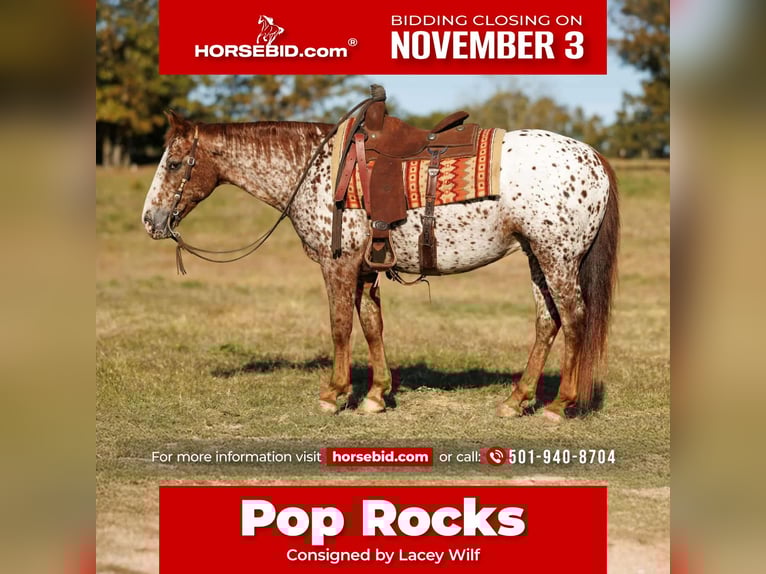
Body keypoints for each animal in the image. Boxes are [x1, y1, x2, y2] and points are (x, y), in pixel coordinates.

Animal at [142, 109, 619, 422]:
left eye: (174, 162)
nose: (150, 220)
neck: (317, 170)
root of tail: (594, 158)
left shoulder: (337, 265)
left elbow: (339, 326)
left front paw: (334, 394)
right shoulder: (365, 269)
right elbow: (372, 325)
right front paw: (376, 395)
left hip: (559, 258)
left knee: (574, 319)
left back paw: (559, 405)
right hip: (537, 256)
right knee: (547, 321)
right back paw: (516, 399)